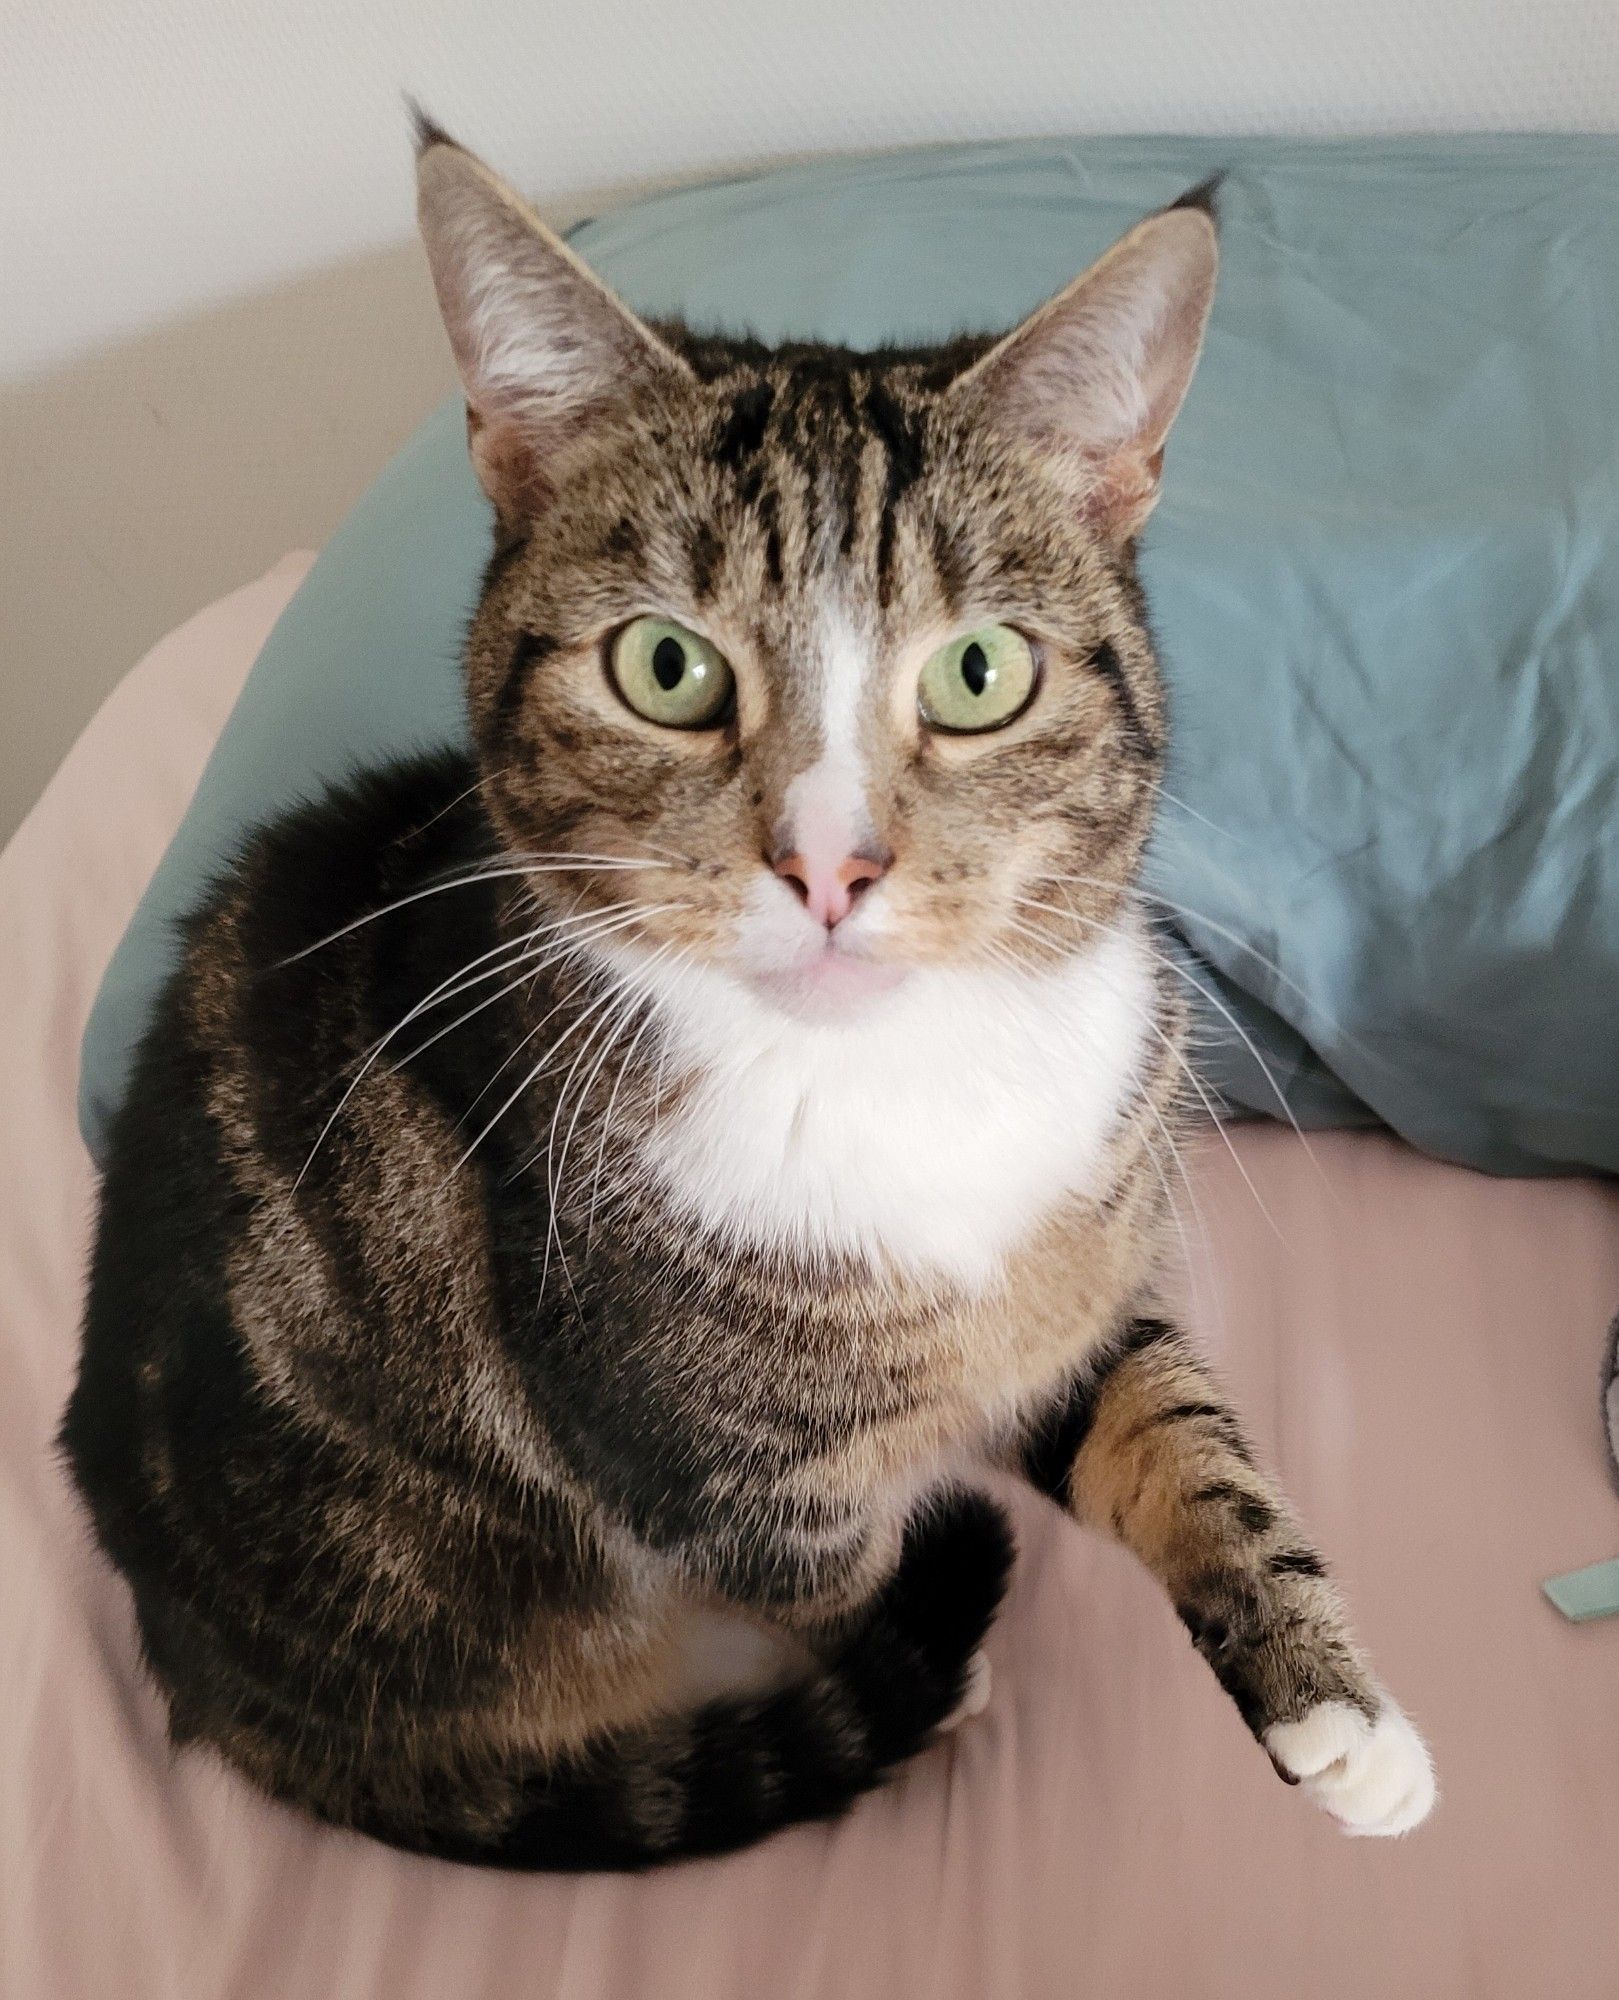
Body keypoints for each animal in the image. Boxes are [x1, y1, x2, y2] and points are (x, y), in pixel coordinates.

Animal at [56, 125, 1431, 1864]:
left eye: (978, 674)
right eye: (664, 667)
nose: (827, 865)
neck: (902, 1078)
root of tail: (206, 1684)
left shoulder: (1072, 1269)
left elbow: (1172, 1426)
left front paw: (1337, 1712)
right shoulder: (724, 1477)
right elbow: (838, 1583)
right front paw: (917, 1668)